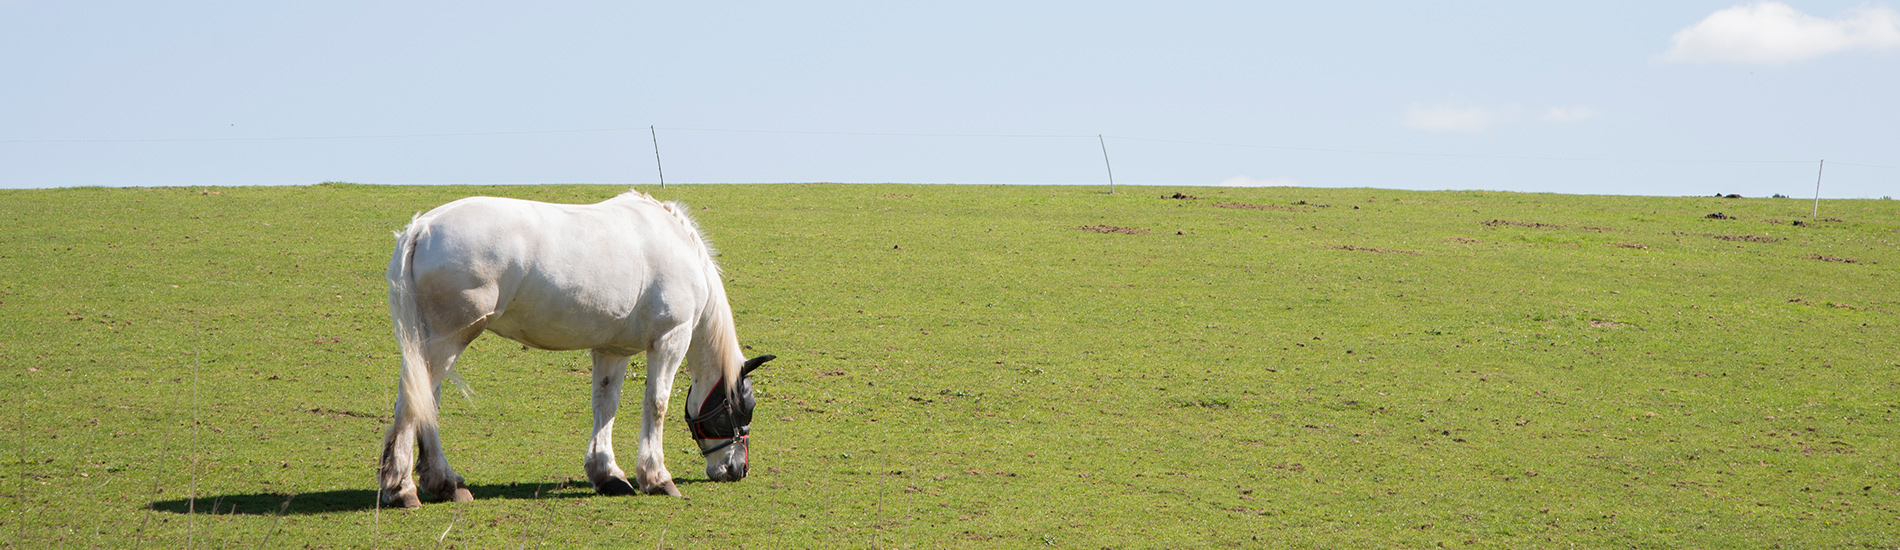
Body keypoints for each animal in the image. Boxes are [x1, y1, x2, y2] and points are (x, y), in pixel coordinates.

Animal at [378, 190, 771, 506]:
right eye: (745, 409)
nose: (739, 468)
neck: (678, 245)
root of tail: (421, 228)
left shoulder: (613, 350)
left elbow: (605, 405)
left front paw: (608, 474)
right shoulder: (671, 339)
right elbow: (656, 404)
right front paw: (657, 477)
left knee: (423, 402)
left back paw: (443, 483)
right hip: (446, 341)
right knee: (415, 403)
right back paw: (403, 489)